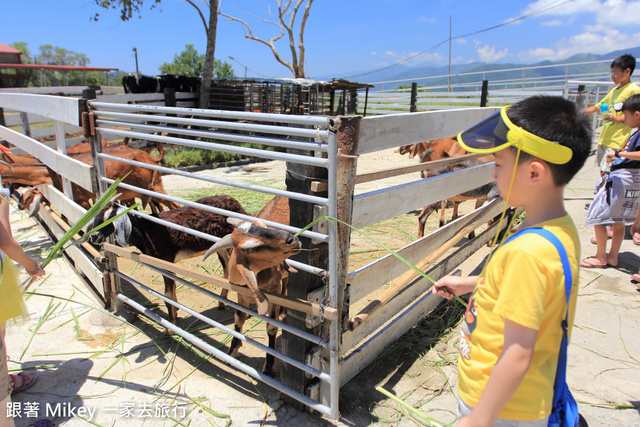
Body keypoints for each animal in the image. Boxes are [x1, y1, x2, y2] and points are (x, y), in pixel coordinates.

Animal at [89, 196, 249, 326]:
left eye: (110, 217)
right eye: (96, 215)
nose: (93, 236)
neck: (147, 231)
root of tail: (235, 203)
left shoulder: (166, 262)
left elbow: (167, 295)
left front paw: (170, 327)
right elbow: (172, 290)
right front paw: (176, 313)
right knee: (227, 269)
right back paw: (221, 303)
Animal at [202, 211, 300, 374]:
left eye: (263, 226)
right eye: (250, 249)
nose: (292, 239)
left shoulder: (274, 290)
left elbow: (271, 327)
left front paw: (269, 367)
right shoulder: (241, 294)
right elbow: (238, 319)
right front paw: (232, 352)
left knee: (286, 281)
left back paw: (282, 312)